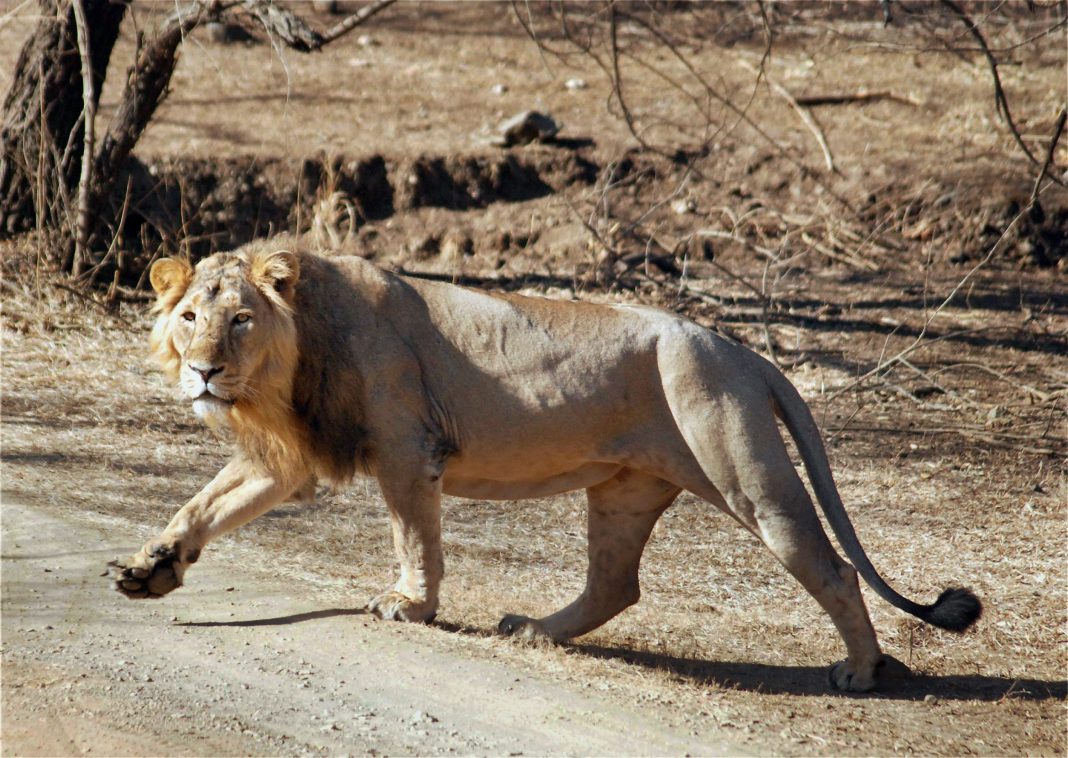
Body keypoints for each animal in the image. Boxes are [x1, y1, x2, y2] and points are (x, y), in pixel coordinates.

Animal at [108, 236, 981, 692]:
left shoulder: (407, 450)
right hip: (626, 492)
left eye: (240, 320)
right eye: (187, 318)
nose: (204, 373)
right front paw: (150, 569)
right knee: (615, 585)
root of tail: (742, 349)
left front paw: (410, 605)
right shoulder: (290, 457)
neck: (287, 369)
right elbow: (203, 505)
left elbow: (413, 537)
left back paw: (861, 671)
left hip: (748, 477)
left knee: (833, 569)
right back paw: (532, 630)